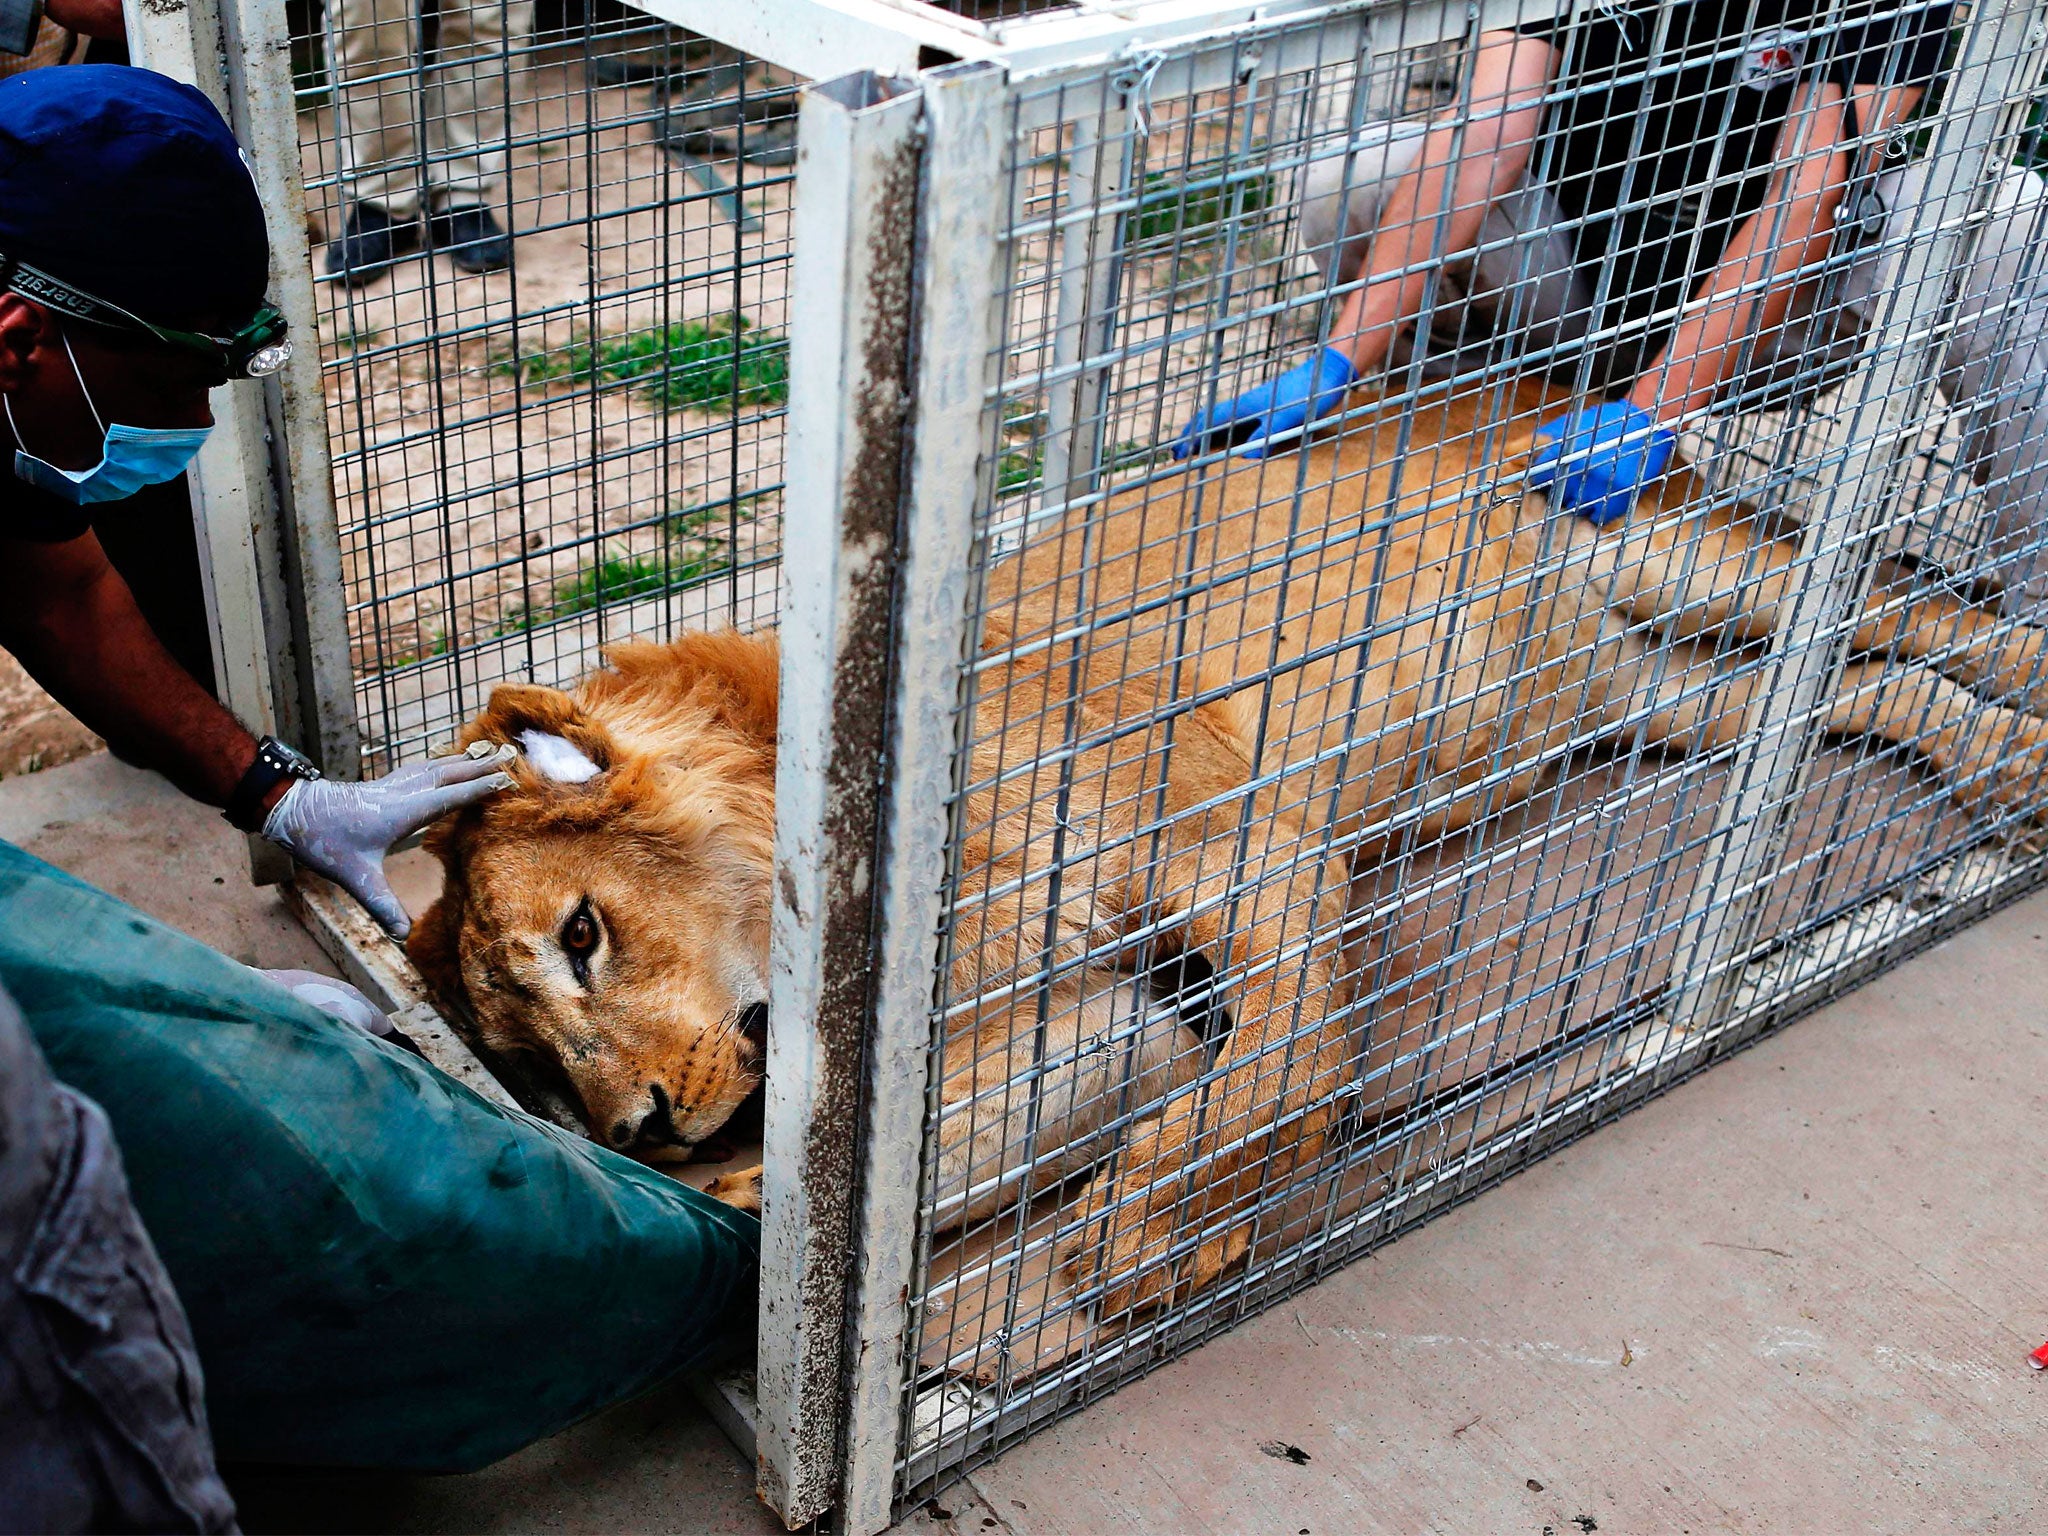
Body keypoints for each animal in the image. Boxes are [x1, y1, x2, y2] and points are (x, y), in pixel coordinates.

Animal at [403, 378, 2048, 1318]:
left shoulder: (1247, 840)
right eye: (529, 1056)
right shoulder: (1079, 1003)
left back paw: (2026, 725)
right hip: (1639, 696)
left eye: (584, 934)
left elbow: (1295, 1061)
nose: (639, 1133)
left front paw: (1149, 1240)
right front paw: (737, 1215)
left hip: (1666, 551)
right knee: (1865, 687)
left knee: (1899, 609)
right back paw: (2003, 761)